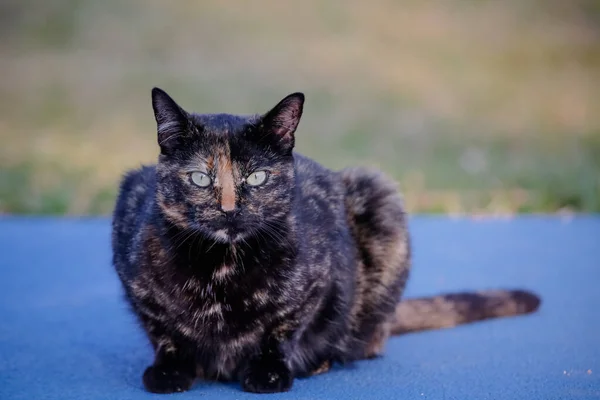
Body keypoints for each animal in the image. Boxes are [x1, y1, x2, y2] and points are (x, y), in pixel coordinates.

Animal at [110, 88, 540, 394]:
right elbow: (164, 332)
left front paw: (269, 371)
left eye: (257, 177)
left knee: (367, 340)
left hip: (378, 196)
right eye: (200, 178)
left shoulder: (315, 284)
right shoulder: (135, 273)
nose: (229, 209)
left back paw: (324, 359)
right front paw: (169, 370)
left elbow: (282, 329)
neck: (222, 267)